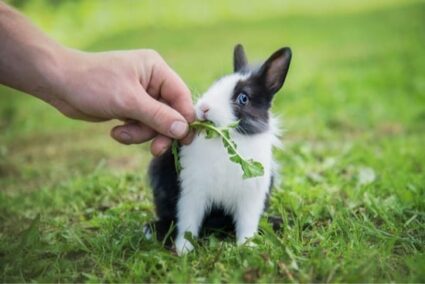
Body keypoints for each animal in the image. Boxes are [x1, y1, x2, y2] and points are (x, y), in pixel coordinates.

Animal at [147, 44, 292, 255]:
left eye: (243, 98)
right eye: (216, 84)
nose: (204, 108)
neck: (226, 141)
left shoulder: (251, 196)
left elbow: (247, 223)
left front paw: (247, 246)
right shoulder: (192, 191)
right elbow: (188, 222)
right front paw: (184, 250)